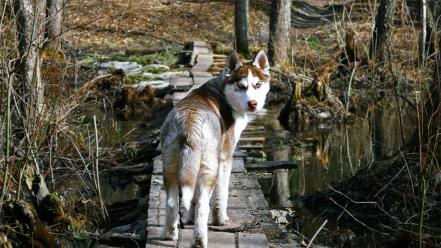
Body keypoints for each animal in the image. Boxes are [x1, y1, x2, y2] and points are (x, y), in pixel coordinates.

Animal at [158, 50, 268, 246]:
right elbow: (221, 195)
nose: (253, 104)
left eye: (258, 84)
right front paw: (221, 220)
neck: (223, 92)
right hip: (210, 168)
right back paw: (200, 240)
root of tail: (189, 121)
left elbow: (192, 199)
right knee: (203, 205)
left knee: (172, 202)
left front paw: (189, 218)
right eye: (241, 86)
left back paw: (169, 234)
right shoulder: (225, 157)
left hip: (170, 166)